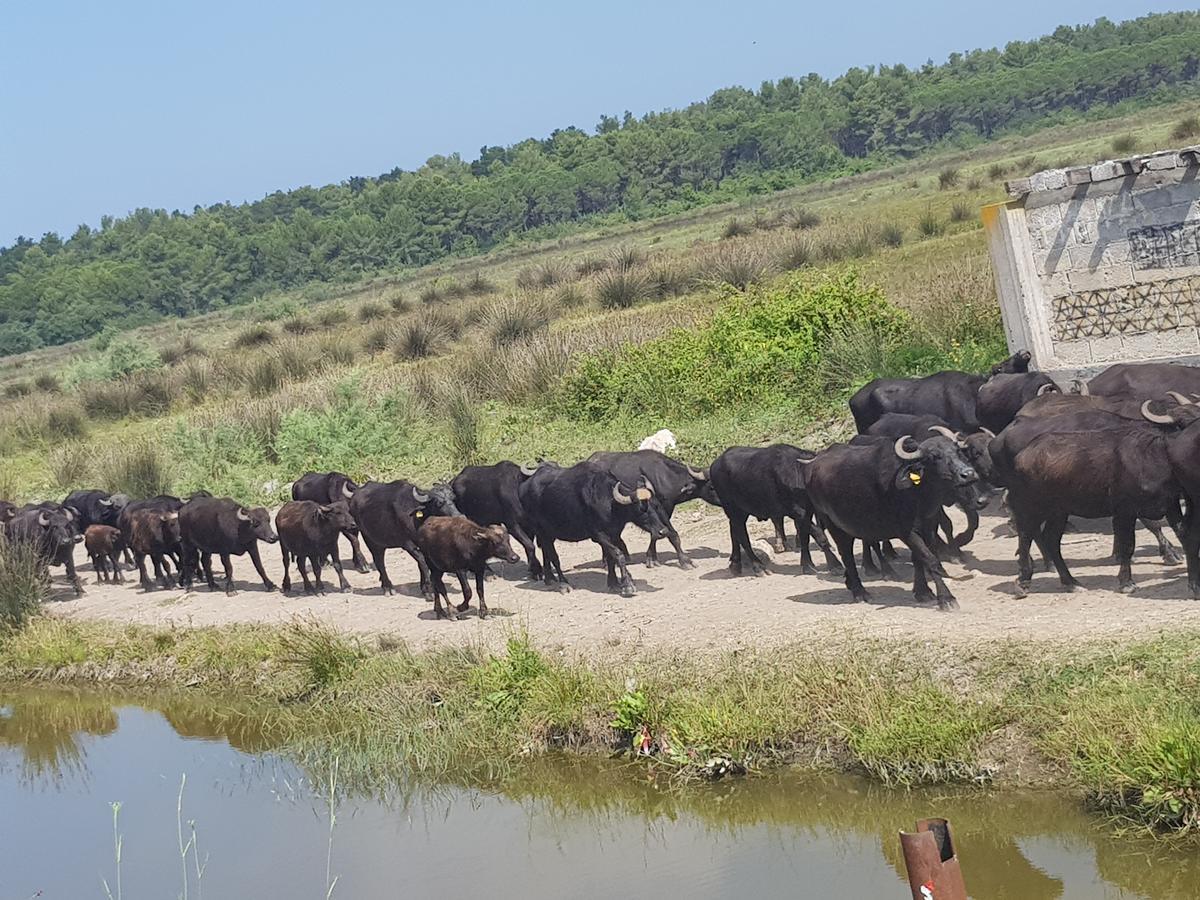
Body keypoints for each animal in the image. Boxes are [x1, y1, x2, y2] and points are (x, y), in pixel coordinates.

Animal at [516, 465, 667, 600]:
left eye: (655, 505)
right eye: (642, 510)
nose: (662, 531)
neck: (610, 502)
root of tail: (524, 486)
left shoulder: (614, 534)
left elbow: (611, 558)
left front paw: (613, 583)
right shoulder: (599, 536)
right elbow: (618, 555)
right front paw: (627, 585)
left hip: (547, 533)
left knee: (546, 551)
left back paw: (549, 579)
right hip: (542, 530)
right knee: (554, 557)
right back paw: (563, 584)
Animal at [583, 451, 715, 571]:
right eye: (712, 487)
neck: (666, 476)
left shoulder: (663, 509)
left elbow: (659, 533)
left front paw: (653, 559)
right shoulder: (663, 507)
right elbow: (670, 534)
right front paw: (684, 561)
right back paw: (607, 562)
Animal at [705, 444, 840, 578]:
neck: (800, 475)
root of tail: (715, 464)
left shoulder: (807, 512)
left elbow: (805, 538)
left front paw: (810, 565)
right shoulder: (798, 513)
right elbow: (819, 535)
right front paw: (833, 565)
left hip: (741, 512)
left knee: (734, 531)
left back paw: (735, 565)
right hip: (733, 509)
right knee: (743, 537)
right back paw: (758, 567)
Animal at [806, 432, 984, 614]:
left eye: (957, 451)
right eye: (934, 457)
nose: (968, 474)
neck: (917, 493)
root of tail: (813, 467)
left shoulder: (928, 526)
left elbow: (919, 558)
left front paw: (922, 592)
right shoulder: (907, 532)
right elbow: (930, 559)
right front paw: (947, 598)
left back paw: (851, 583)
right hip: (832, 524)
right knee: (847, 555)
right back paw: (860, 592)